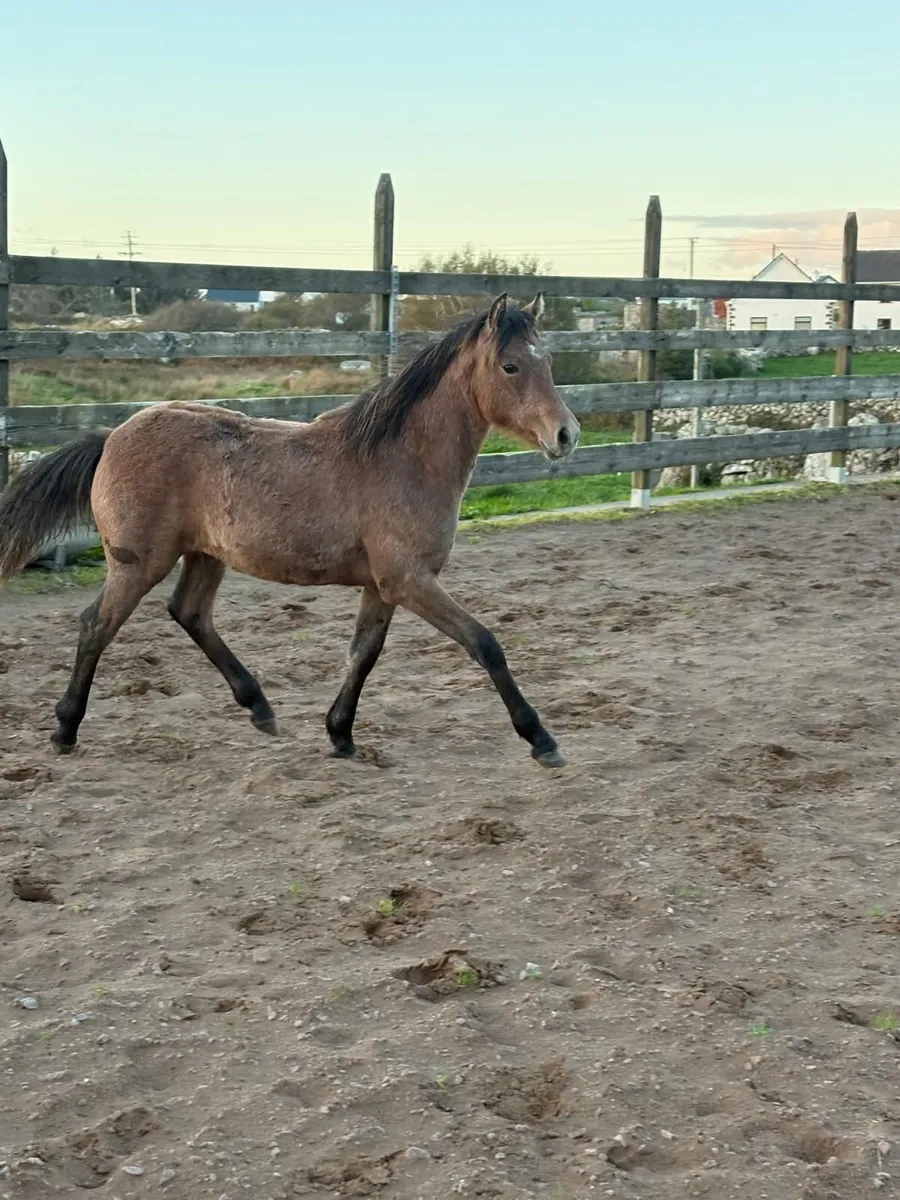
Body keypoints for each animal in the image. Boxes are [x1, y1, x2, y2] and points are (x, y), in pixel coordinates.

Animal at [0, 292, 580, 767]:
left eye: (548, 361)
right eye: (510, 366)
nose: (566, 435)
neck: (402, 459)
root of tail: (111, 437)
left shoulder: (382, 586)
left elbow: (363, 654)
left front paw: (340, 735)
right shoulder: (410, 581)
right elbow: (485, 643)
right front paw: (542, 740)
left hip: (205, 555)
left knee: (189, 613)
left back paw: (260, 707)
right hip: (137, 562)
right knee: (96, 625)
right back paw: (65, 729)